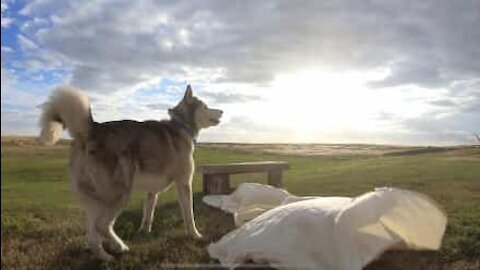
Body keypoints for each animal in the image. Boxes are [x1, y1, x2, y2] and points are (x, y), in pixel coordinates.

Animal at [38, 85, 222, 260]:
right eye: (205, 106)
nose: (222, 111)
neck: (181, 125)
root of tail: (93, 130)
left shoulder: (152, 192)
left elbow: (148, 214)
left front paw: (144, 232)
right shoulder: (184, 184)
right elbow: (189, 215)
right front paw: (195, 235)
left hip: (95, 201)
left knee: (93, 235)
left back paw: (105, 257)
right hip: (120, 194)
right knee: (102, 226)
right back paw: (120, 246)